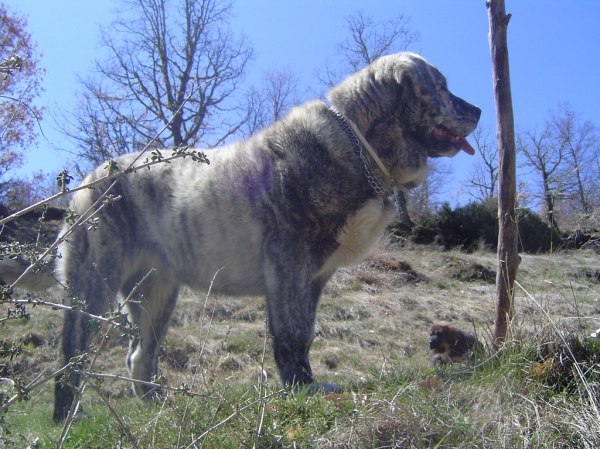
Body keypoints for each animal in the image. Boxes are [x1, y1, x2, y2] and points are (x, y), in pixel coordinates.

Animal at [0, 51, 478, 420]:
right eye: (440, 87)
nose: (475, 110)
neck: (361, 143)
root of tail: (86, 182)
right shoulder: (289, 264)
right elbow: (293, 332)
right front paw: (301, 390)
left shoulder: (312, 278)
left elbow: (303, 332)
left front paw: (303, 384)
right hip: (94, 286)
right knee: (71, 357)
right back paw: (68, 418)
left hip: (156, 295)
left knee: (140, 357)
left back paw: (161, 411)